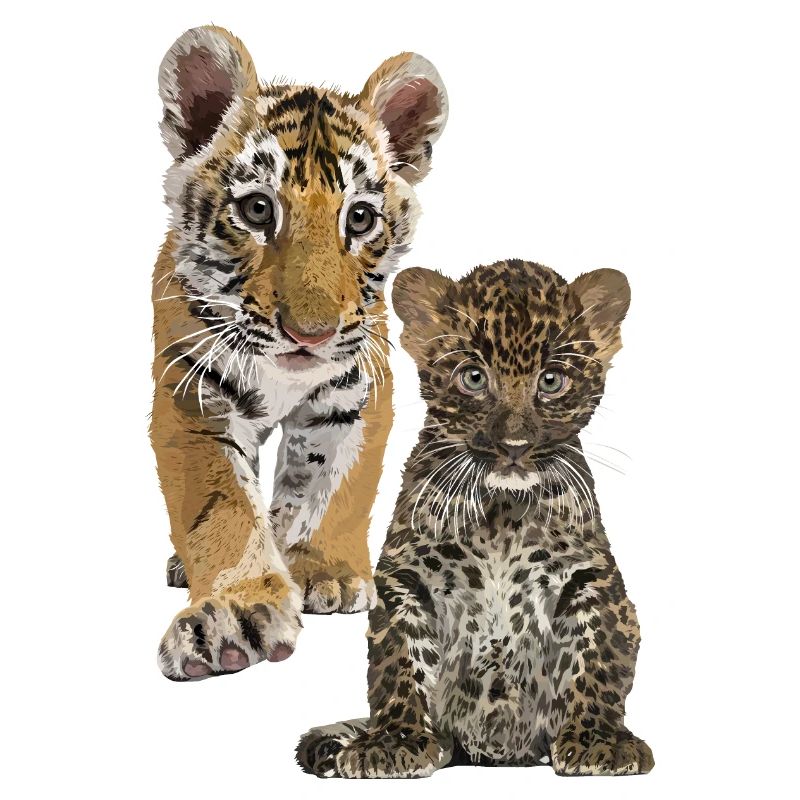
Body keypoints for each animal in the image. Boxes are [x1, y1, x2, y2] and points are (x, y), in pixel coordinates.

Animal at [150, 25, 448, 680]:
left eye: (359, 218)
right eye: (258, 209)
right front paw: (233, 614)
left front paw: (325, 571)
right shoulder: (193, 397)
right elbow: (224, 508)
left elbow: (332, 486)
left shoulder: (358, 392)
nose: (309, 334)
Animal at [297, 259, 654, 777]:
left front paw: (599, 741)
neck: (501, 513)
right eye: (473, 378)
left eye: (552, 381)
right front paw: (393, 741)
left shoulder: (590, 578)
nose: (514, 446)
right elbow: (400, 660)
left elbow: (598, 657)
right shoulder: (407, 578)